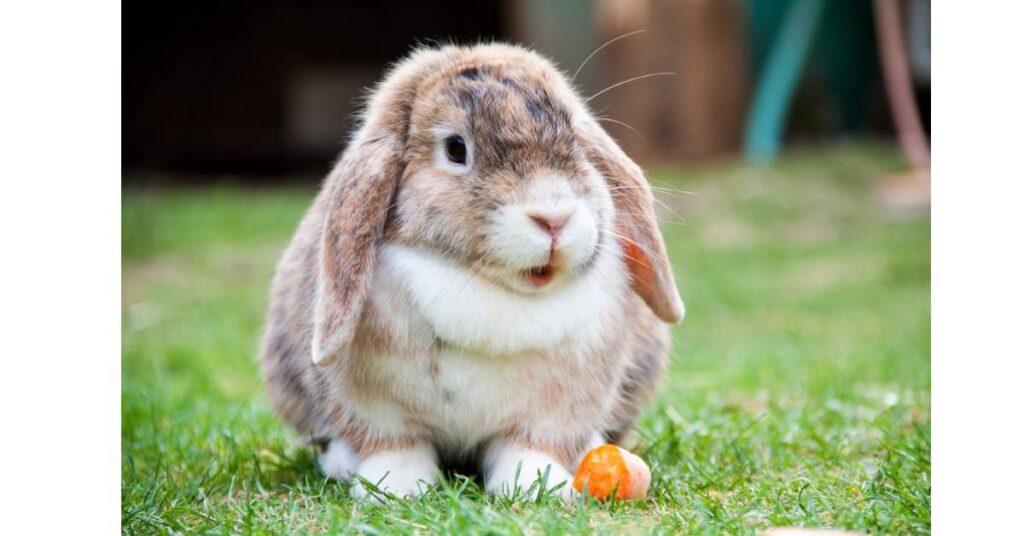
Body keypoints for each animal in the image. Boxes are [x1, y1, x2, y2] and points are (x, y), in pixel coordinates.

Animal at [260, 43, 684, 502]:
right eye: (456, 148)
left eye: (574, 137)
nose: (554, 218)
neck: (488, 287)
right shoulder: (376, 409)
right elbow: (395, 446)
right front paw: (395, 488)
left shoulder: (554, 412)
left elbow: (529, 447)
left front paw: (537, 487)